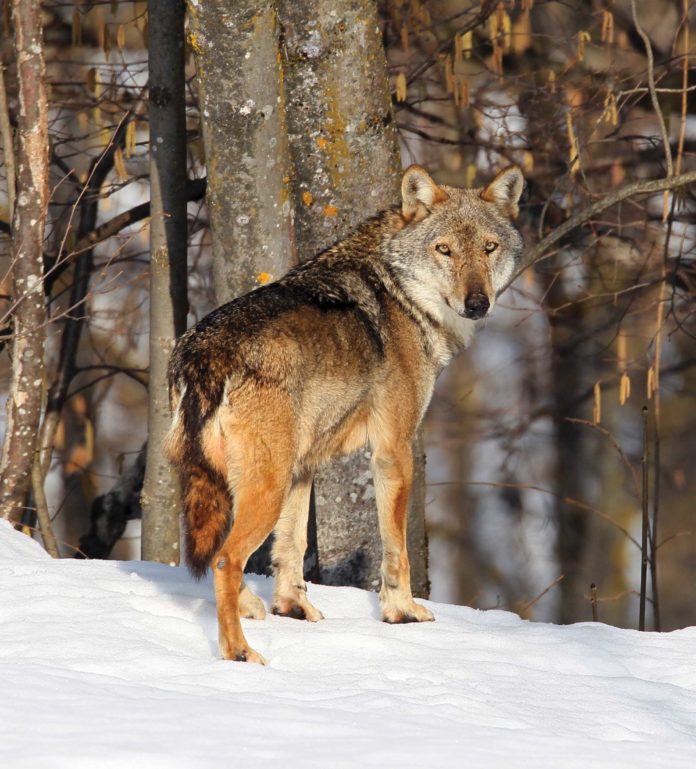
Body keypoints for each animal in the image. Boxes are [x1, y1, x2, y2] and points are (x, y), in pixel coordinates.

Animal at [166, 164, 520, 660]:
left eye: (488, 248)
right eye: (444, 249)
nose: (477, 303)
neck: (400, 293)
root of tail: (205, 352)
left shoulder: (304, 466)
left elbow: (292, 547)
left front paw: (294, 609)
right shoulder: (394, 448)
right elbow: (396, 547)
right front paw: (402, 612)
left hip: (229, 481)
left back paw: (250, 608)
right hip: (264, 487)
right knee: (223, 560)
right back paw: (240, 652)